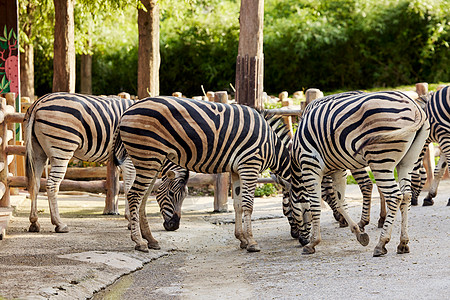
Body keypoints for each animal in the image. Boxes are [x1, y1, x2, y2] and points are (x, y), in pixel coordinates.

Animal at [24, 92, 187, 233]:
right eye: (171, 194)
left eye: (185, 195)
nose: (174, 226)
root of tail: (38, 102)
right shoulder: (130, 159)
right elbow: (129, 187)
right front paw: (130, 220)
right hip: (62, 149)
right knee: (51, 185)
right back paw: (59, 224)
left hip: (38, 152)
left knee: (35, 184)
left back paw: (34, 223)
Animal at [115, 96, 292, 253]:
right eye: (171, 194)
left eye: (185, 195)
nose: (174, 226)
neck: (271, 145)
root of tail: (128, 109)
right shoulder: (250, 165)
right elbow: (247, 205)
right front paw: (252, 242)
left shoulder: (236, 170)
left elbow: (237, 204)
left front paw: (242, 239)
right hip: (148, 156)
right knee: (134, 195)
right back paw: (139, 242)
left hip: (150, 160)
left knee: (142, 198)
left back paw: (150, 240)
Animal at [288, 90, 428, 256]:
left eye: (289, 211)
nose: (299, 239)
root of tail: (414, 106)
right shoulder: (338, 170)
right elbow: (340, 203)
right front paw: (359, 233)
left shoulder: (310, 166)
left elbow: (315, 207)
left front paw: (312, 243)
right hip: (406, 161)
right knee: (406, 195)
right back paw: (403, 243)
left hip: (380, 159)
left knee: (394, 196)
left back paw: (381, 244)